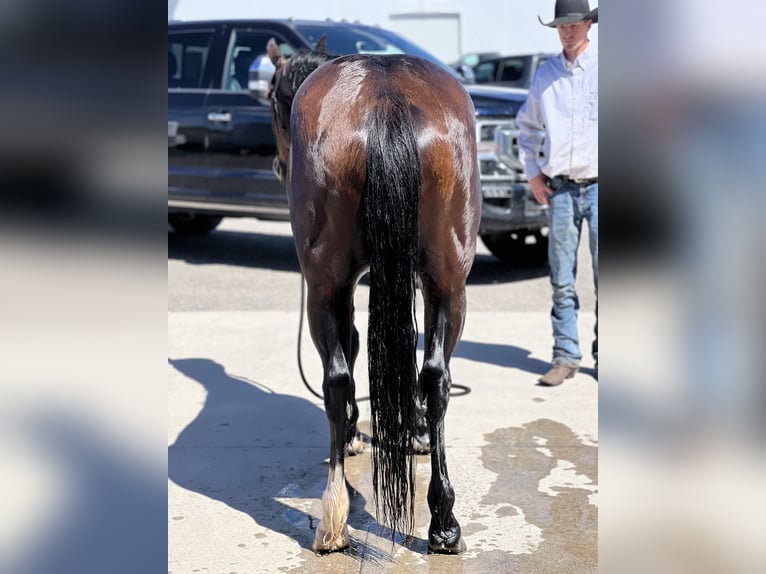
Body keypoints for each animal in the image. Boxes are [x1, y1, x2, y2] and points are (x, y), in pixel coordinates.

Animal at [264, 37, 480, 560]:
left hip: (324, 286)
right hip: (449, 282)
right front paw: (413, 431)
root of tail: (385, 98)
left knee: (338, 379)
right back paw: (443, 523)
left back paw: (335, 515)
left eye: (270, 100)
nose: (278, 165)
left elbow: (356, 346)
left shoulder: (341, 287)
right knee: (435, 377)